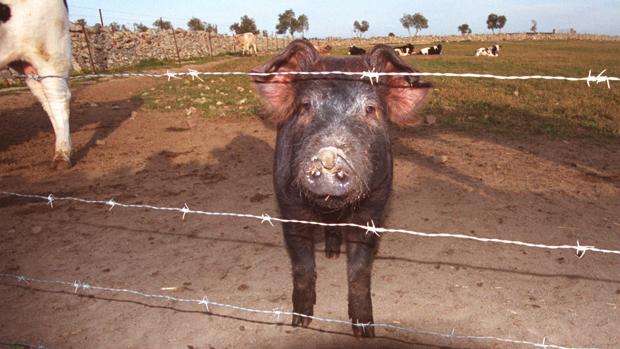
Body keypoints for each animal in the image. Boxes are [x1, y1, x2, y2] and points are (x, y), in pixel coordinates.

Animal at [252, 39, 432, 336]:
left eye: (370, 109)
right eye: (305, 106)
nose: (328, 156)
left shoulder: (374, 207)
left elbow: (359, 270)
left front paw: (364, 331)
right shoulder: (289, 206)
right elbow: (302, 265)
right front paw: (300, 321)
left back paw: (334, 254)